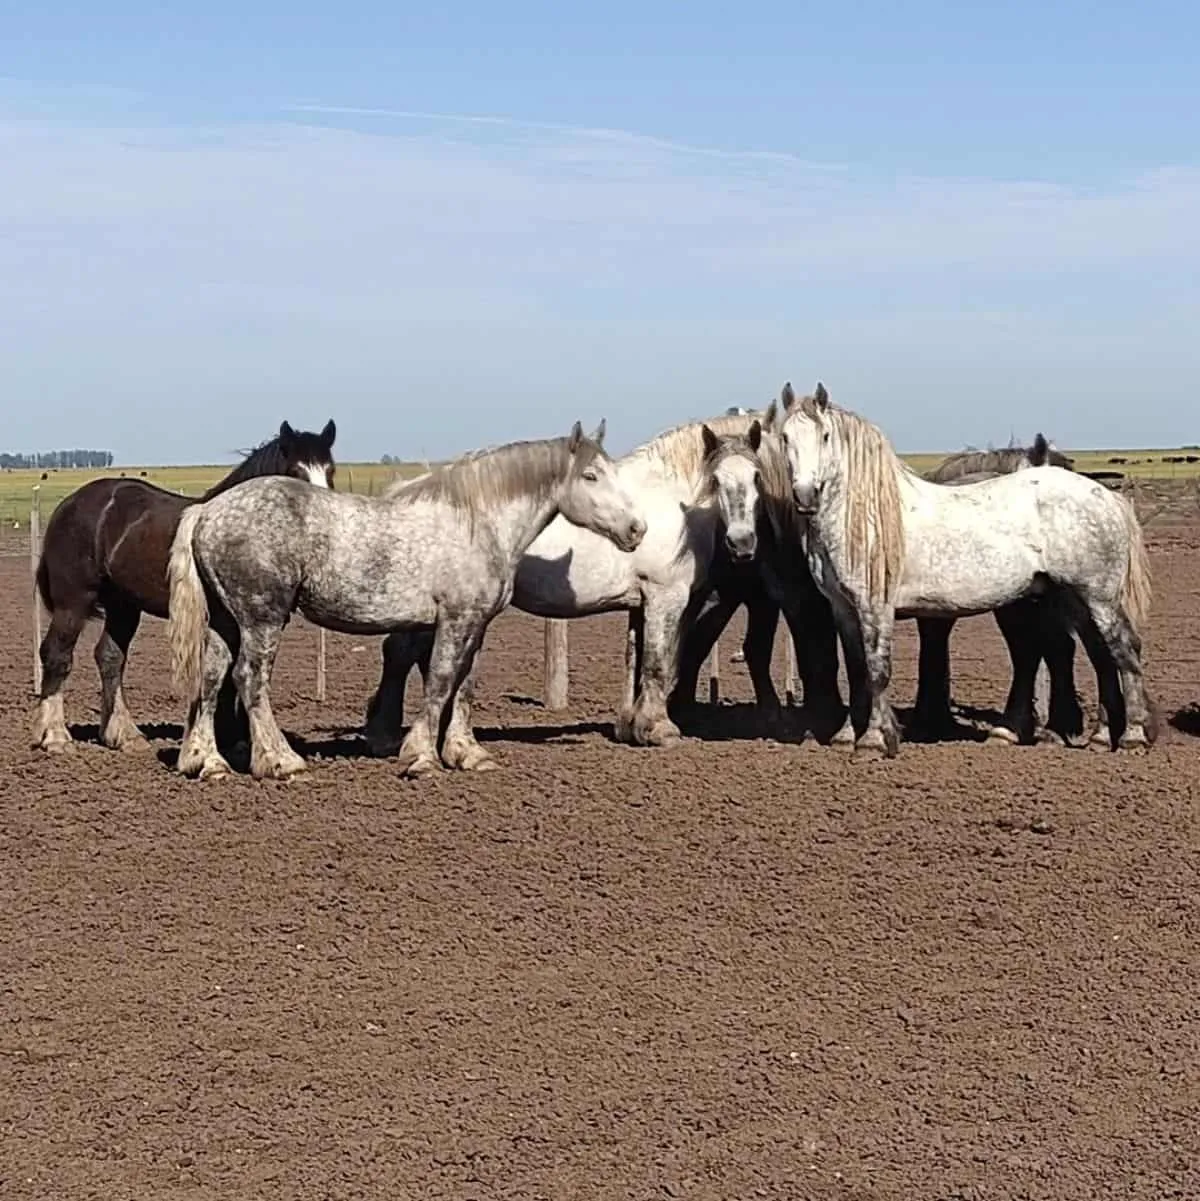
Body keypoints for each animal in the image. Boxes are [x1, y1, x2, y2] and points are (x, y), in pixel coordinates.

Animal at [32, 419, 337, 756]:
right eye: (295, 472)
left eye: (330, 470)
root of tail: (69, 505)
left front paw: (237, 739)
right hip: (73, 602)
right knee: (57, 655)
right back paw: (55, 736)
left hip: (123, 606)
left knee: (110, 658)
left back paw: (124, 735)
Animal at [166, 422, 646, 782]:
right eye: (590, 476)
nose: (637, 529)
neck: (477, 522)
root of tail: (207, 512)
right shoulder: (454, 619)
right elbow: (440, 681)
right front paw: (422, 757)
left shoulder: (477, 624)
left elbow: (464, 686)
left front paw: (467, 753)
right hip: (262, 618)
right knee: (250, 679)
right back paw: (281, 761)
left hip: (226, 621)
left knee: (211, 678)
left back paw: (207, 762)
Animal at [361, 408, 793, 759]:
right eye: (717, 480)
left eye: (757, 476)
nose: (742, 543)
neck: (673, 501)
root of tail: (403, 491)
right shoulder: (665, 597)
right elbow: (658, 662)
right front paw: (659, 729)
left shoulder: (639, 603)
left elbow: (635, 661)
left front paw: (629, 726)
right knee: (401, 654)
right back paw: (387, 735)